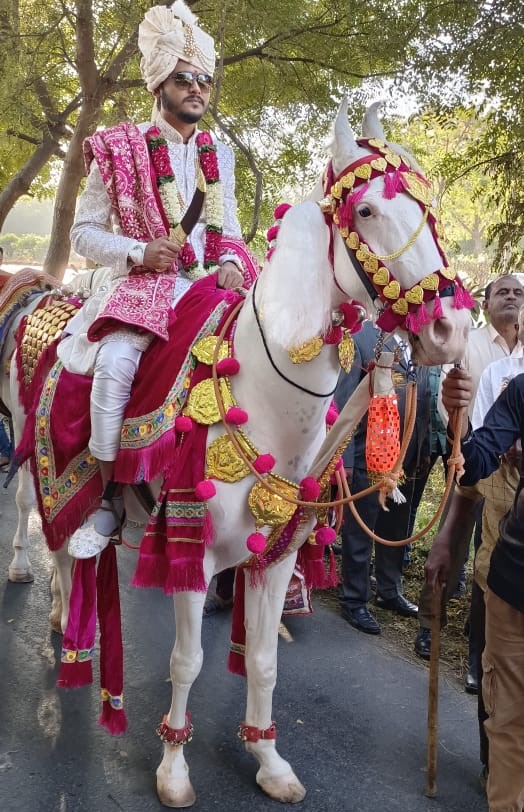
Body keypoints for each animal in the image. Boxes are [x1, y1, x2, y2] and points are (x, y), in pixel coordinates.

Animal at [4, 104, 470, 808]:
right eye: (365, 211)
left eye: (429, 208)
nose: (452, 329)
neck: (266, 395)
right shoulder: (190, 553)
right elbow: (187, 660)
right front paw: (173, 767)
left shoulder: (274, 560)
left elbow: (264, 661)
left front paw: (268, 757)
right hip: (44, 459)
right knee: (51, 529)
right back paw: (56, 606)